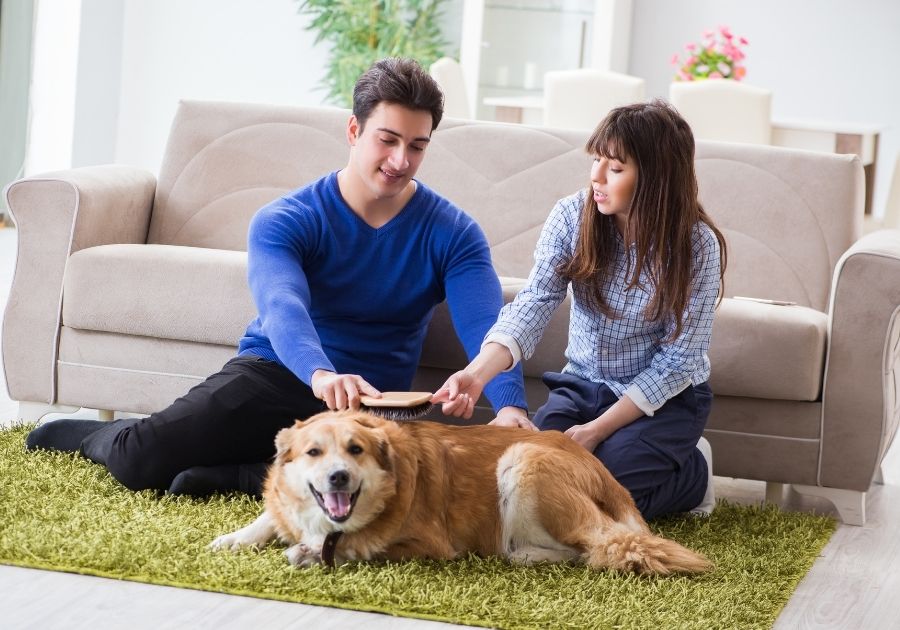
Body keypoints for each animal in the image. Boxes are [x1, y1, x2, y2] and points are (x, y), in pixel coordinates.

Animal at [211, 410, 712, 576]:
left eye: (355, 450)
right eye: (313, 452)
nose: (338, 478)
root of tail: (604, 472)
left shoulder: (428, 543)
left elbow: (362, 546)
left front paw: (311, 553)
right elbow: (270, 516)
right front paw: (235, 537)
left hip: (523, 461)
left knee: (592, 547)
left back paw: (523, 554)